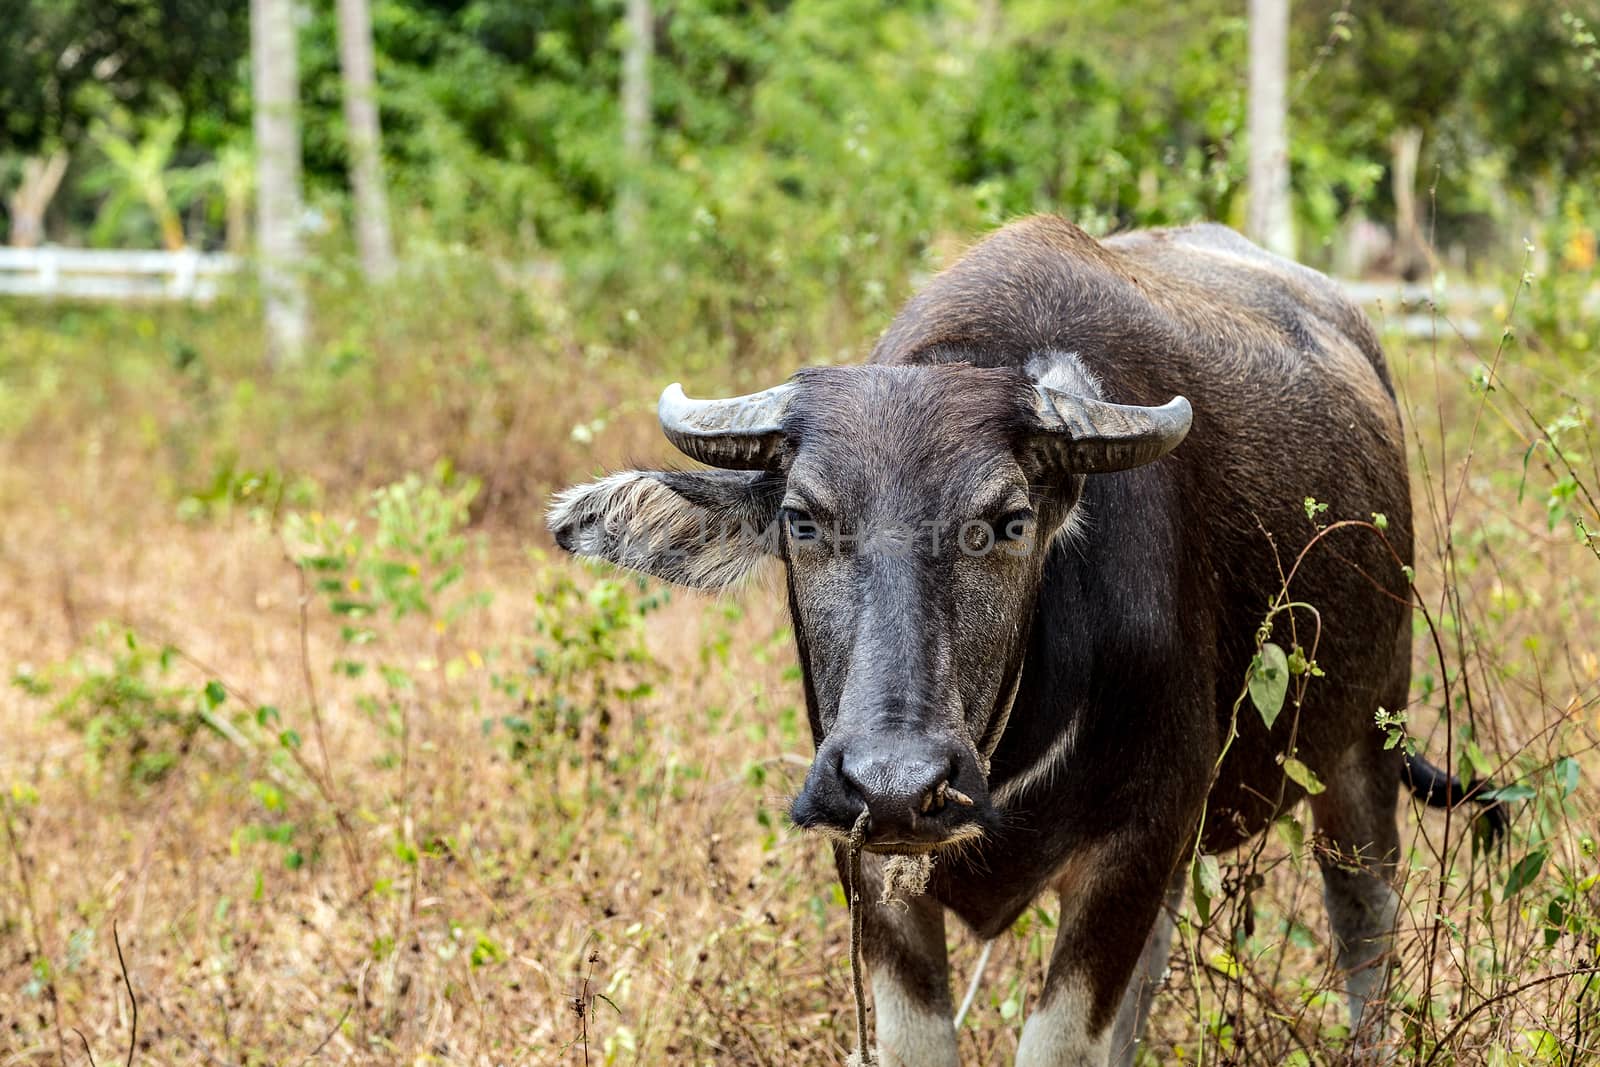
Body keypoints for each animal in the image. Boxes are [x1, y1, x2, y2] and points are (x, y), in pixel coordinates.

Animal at [544, 217, 1491, 1067]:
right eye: (803, 519)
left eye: (1006, 521)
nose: (897, 785)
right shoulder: (872, 866)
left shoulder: (1132, 846)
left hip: (1366, 747)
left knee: (1366, 938)